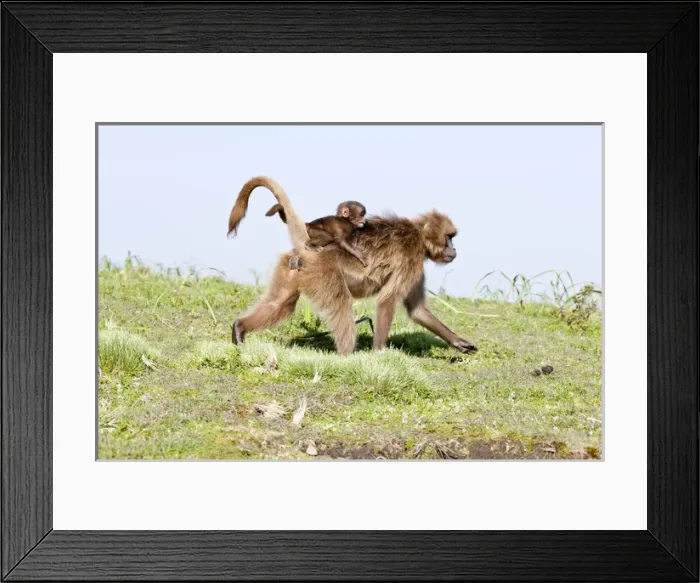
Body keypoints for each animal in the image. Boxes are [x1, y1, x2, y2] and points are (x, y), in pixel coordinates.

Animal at [227, 176, 477, 357]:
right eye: (449, 237)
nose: (454, 250)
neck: (417, 234)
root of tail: (308, 244)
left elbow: (417, 310)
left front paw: (458, 342)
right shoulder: (410, 259)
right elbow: (387, 301)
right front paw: (379, 355)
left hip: (293, 270)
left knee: (280, 303)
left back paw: (239, 328)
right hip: (323, 273)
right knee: (341, 305)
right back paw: (346, 357)